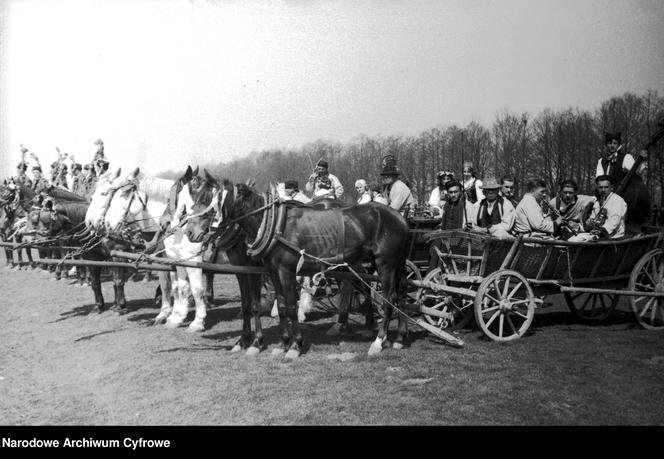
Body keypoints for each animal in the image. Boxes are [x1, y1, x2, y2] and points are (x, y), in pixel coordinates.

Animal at [224, 183, 410, 360]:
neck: (273, 225)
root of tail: (400, 217)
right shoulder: (269, 271)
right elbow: (269, 304)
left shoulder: (276, 270)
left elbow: (278, 305)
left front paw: (285, 344)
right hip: (395, 264)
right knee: (399, 292)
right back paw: (399, 337)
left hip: (385, 264)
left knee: (387, 298)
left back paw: (378, 340)